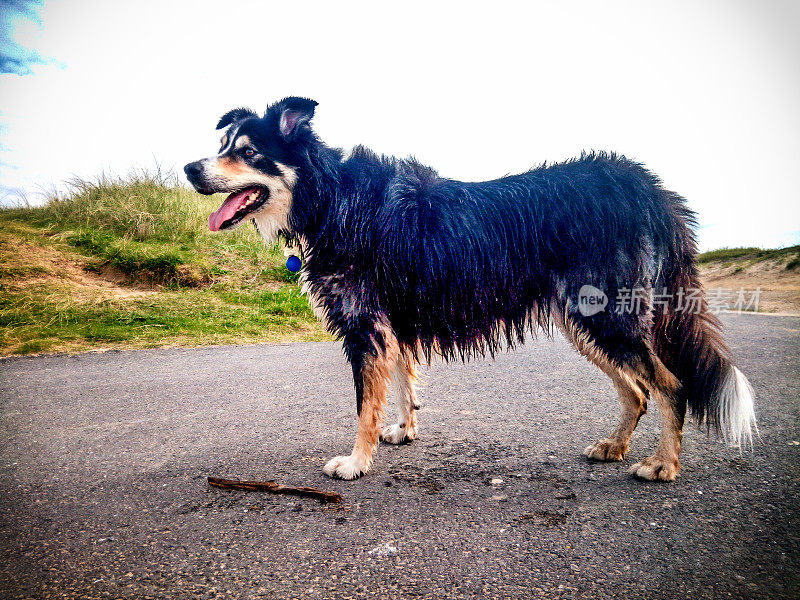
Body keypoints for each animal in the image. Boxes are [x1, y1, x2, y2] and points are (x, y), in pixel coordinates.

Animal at [186, 98, 756, 482]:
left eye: (248, 152)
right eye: (222, 147)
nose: (190, 168)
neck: (330, 195)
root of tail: (649, 188)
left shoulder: (365, 324)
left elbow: (365, 403)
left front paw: (356, 461)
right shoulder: (393, 321)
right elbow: (403, 382)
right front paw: (403, 431)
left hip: (605, 314)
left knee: (670, 384)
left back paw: (662, 464)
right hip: (586, 321)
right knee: (637, 390)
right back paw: (614, 447)